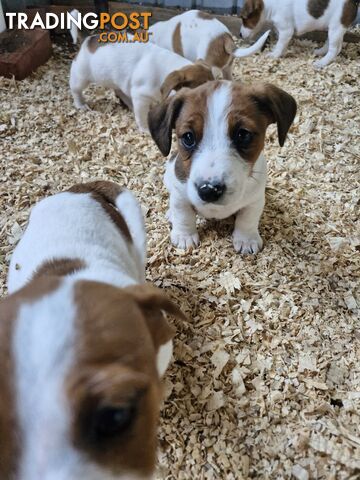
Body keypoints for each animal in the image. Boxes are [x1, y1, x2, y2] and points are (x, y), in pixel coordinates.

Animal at [69, 9, 218, 132]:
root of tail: (87, 40)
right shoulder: (140, 97)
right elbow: (142, 116)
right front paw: (146, 129)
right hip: (81, 77)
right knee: (76, 90)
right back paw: (80, 105)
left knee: (119, 92)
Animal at [146, 80, 296, 253]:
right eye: (188, 137)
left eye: (243, 134)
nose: (208, 190)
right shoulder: (179, 194)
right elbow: (183, 215)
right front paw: (185, 236)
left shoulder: (255, 199)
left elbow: (248, 219)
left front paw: (246, 239)